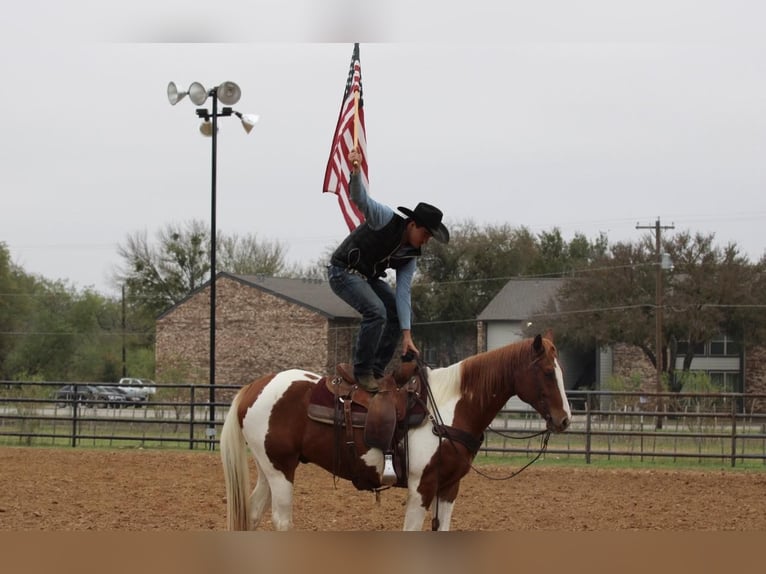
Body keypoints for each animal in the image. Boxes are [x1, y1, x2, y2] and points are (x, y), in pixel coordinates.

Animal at [219, 336, 572, 532]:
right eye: (546, 372)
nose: (565, 419)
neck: (447, 408)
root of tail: (256, 386)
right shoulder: (422, 487)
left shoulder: (449, 487)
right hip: (280, 470)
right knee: (281, 521)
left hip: (271, 468)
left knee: (252, 514)